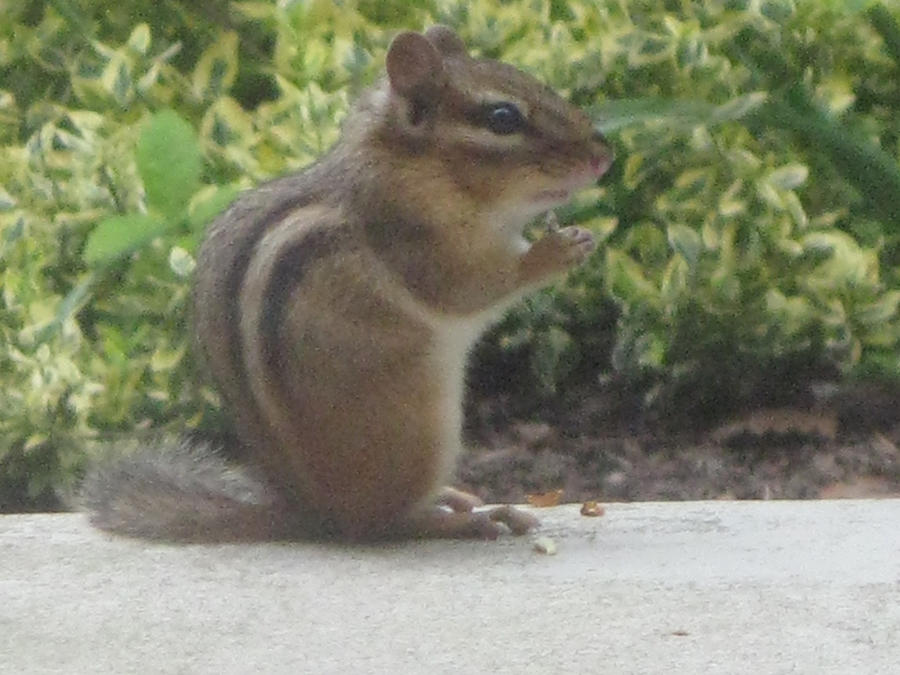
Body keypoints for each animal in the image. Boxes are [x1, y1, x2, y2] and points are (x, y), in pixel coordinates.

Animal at [80, 26, 613, 542]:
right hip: (418, 429)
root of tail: (314, 515)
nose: (603, 157)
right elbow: (469, 286)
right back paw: (468, 519)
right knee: (386, 525)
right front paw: (557, 250)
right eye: (502, 117)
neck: (419, 165)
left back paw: (455, 498)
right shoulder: (417, 238)